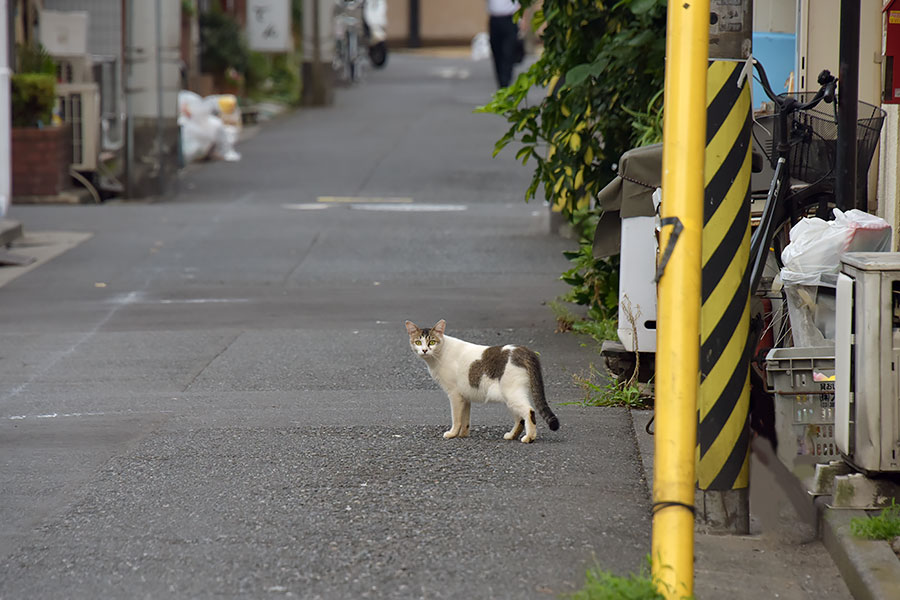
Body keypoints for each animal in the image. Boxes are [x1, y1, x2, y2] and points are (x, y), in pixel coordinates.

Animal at [406, 322, 560, 442]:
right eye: (418, 342)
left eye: (432, 342)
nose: (424, 350)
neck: (439, 355)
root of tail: (523, 349)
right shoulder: (465, 396)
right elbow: (465, 419)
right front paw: (463, 435)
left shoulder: (454, 394)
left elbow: (456, 418)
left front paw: (452, 433)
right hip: (510, 397)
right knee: (520, 419)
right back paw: (511, 436)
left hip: (512, 394)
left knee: (529, 412)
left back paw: (529, 438)